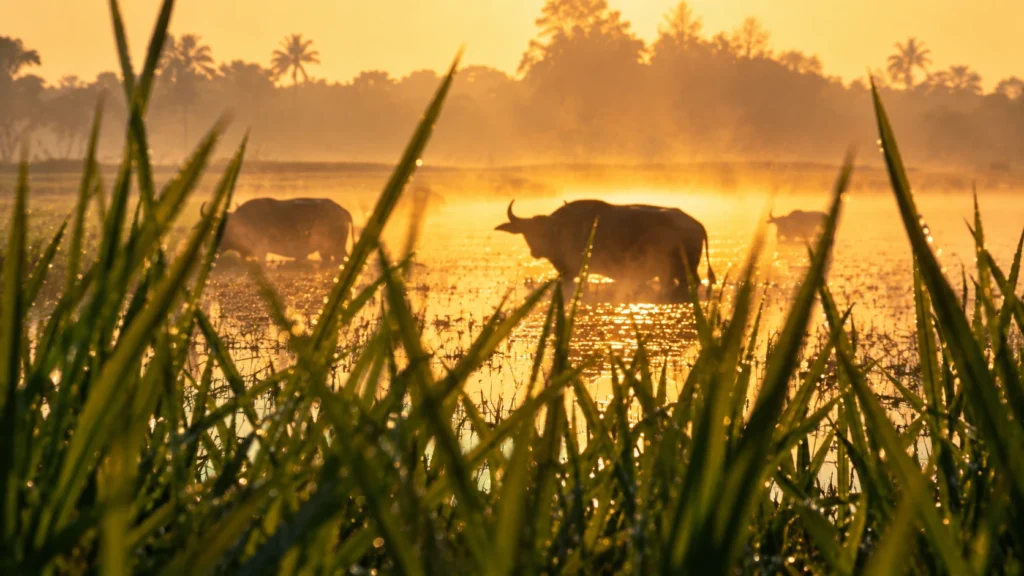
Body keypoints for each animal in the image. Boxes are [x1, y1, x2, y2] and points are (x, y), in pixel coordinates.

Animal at [206, 198, 354, 263]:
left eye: (221, 230)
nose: (214, 250)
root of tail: (341, 210)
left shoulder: (261, 251)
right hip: (326, 251)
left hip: (336, 248)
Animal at [496, 199, 715, 302]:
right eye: (527, 232)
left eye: (546, 231)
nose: (536, 251)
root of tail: (696, 224)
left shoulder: (572, 272)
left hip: (683, 270)